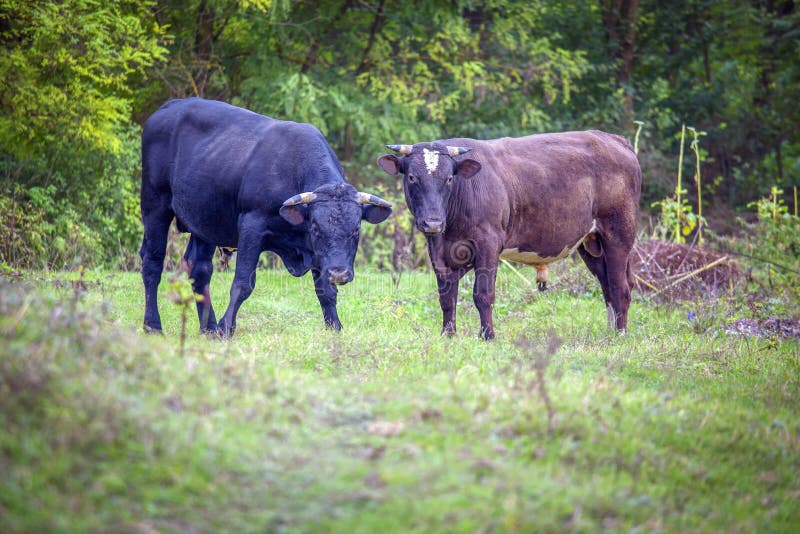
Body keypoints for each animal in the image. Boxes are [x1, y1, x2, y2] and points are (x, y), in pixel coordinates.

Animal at [140, 98, 391, 337]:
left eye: (356, 230)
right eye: (316, 228)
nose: (339, 273)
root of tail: (169, 106)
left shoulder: (319, 254)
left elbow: (326, 291)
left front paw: (335, 329)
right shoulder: (252, 225)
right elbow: (242, 284)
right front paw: (225, 328)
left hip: (205, 220)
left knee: (199, 268)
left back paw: (207, 328)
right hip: (155, 204)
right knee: (152, 262)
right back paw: (153, 325)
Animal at [377, 131, 641, 340]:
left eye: (449, 178)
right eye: (412, 177)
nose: (432, 221)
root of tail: (614, 140)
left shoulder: (488, 243)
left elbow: (483, 294)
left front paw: (487, 336)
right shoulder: (438, 249)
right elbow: (447, 296)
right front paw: (448, 334)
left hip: (619, 233)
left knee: (620, 286)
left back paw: (620, 334)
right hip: (590, 243)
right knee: (607, 284)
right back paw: (611, 331)